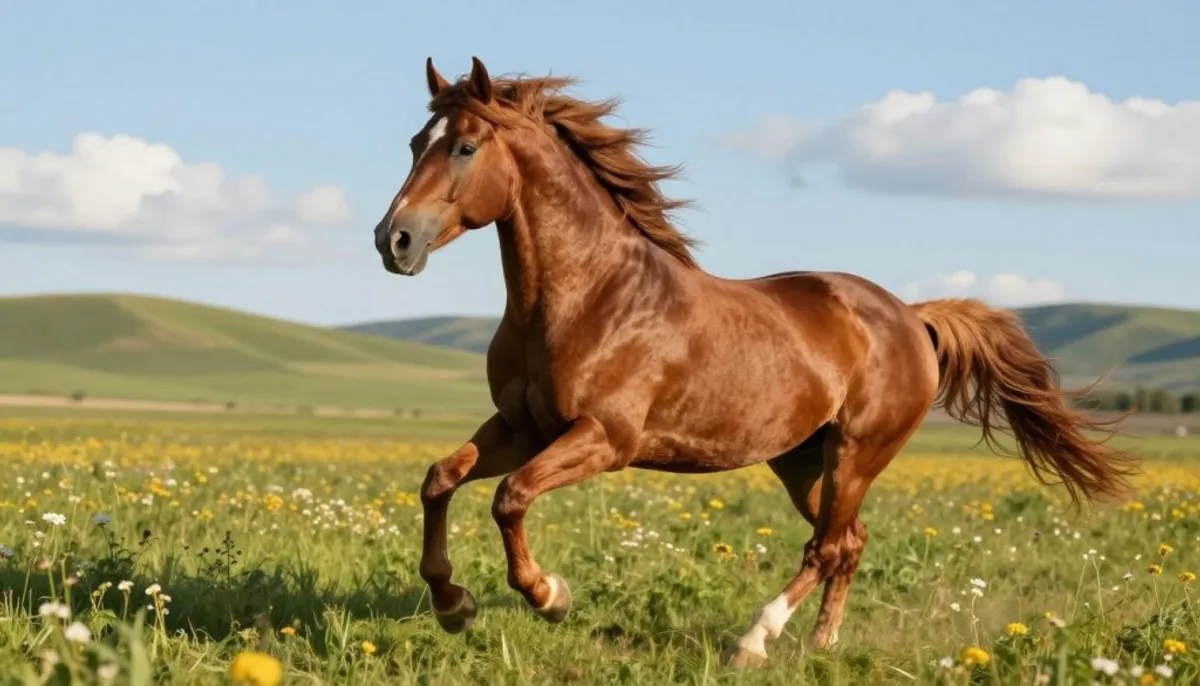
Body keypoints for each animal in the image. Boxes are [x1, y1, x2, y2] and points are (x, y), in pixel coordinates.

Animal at [372, 56, 1140, 667]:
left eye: (465, 146)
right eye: (414, 143)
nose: (393, 240)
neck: (589, 297)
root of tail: (911, 317)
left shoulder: (604, 439)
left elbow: (510, 497)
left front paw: (548, 595)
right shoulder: (519, 427)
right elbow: (440, 480)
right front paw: (453, 605)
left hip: (858, 452)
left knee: (826, 547)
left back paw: (755, 641)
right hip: (802, 461)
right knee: (849, 541)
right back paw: (822, 645)